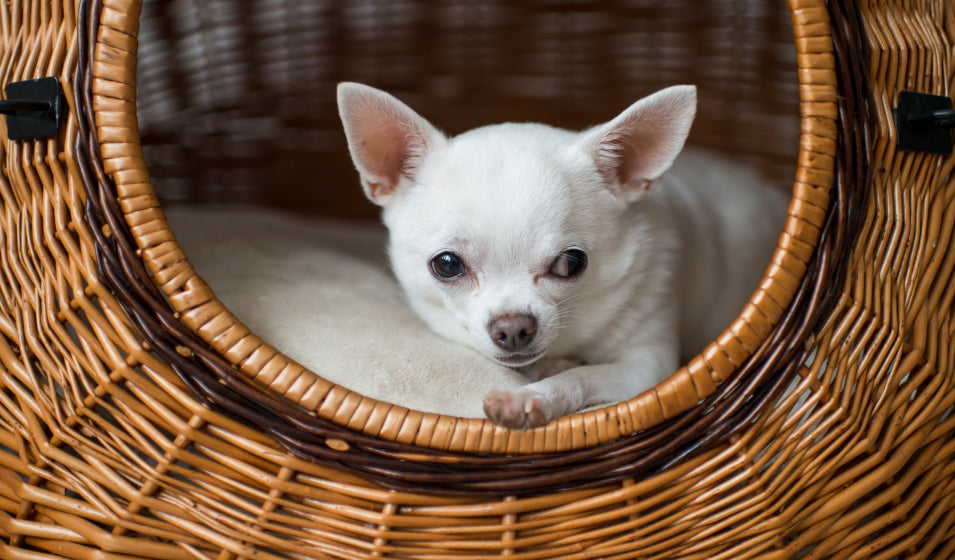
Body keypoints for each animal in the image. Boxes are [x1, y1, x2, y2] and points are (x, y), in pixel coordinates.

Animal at [340, 81, 788, 428]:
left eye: (571, 263)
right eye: (447, 265)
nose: (513, 328)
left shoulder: (651, 368)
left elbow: (586, 376)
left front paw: (532, 397)